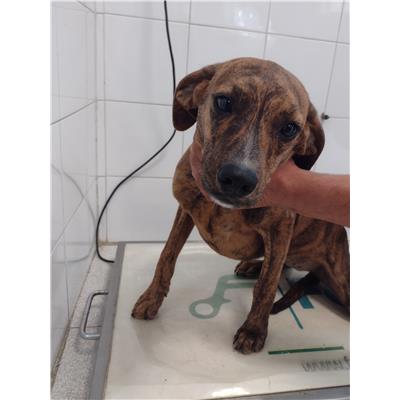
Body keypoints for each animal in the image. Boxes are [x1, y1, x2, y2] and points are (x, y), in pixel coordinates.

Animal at [132, 57, 350, 354]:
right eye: (224, 102)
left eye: (289, 128)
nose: (238, 179)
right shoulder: (185, 210)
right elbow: (167, 256)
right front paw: (151, 298)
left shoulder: (280, 230)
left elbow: (266, 286)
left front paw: (253, 330)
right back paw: (253, 266)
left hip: (341, 280)